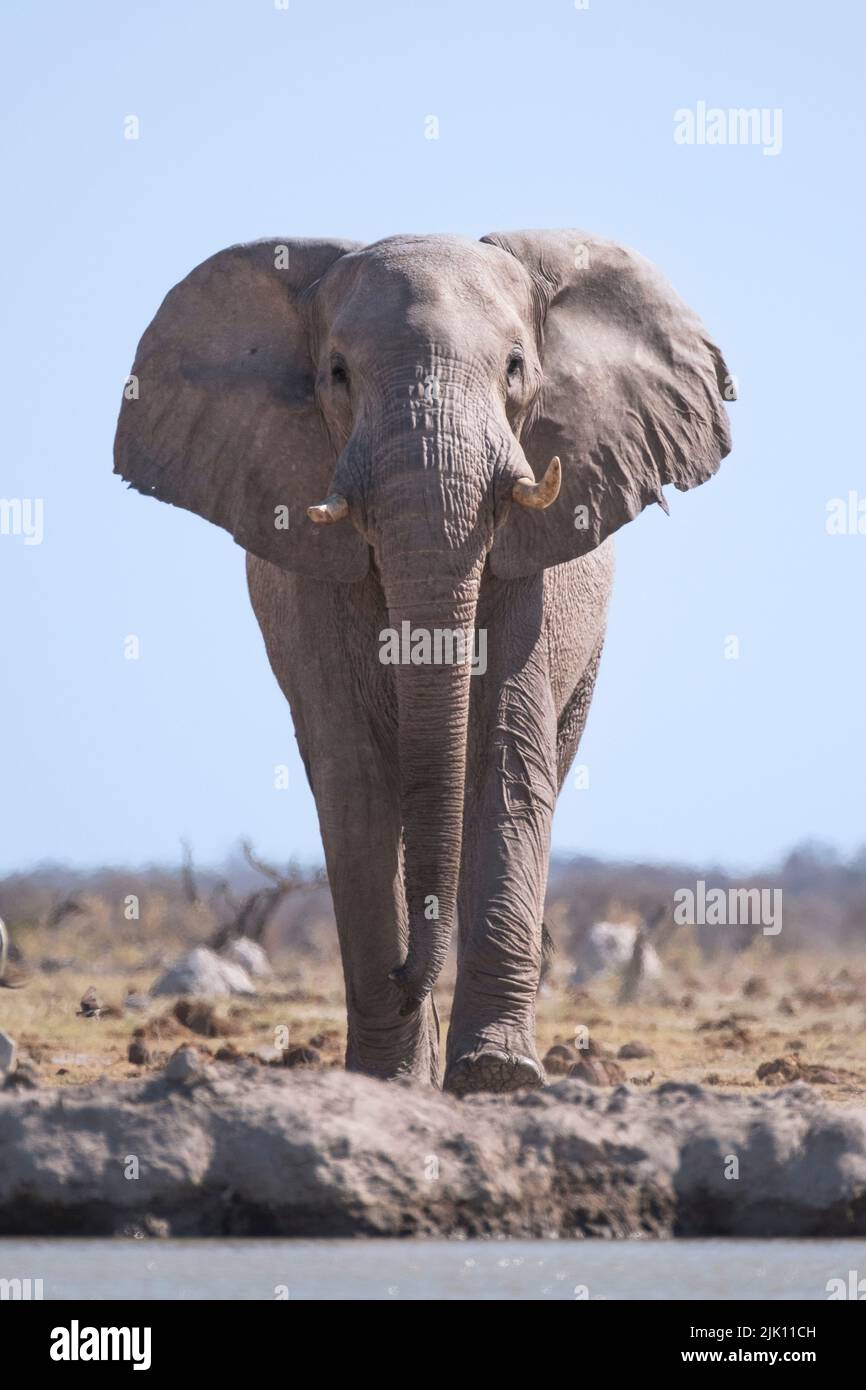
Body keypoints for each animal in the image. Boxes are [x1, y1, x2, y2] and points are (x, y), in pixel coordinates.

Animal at [115, 230, 733, 1095]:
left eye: (515, 367)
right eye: (337, 374)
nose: (409, 976)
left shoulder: (528, 570)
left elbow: (506, 758)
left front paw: (497, 1076)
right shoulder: (313, 581)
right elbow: (354, 779)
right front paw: (386, 1078)